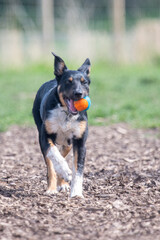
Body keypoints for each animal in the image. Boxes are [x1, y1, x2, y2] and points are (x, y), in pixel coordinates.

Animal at [31, 52, 90, 197]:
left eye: (84, 82)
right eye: (68, 81)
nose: (79, 93)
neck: (66, 114)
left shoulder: (80, 141)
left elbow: (78, 170)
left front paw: (76, 193)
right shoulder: (44, 137)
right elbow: (54, 155)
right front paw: (64, 171)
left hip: (68, 143)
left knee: (63, 152)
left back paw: (63, 183)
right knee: (51, 163)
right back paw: (52, 188)